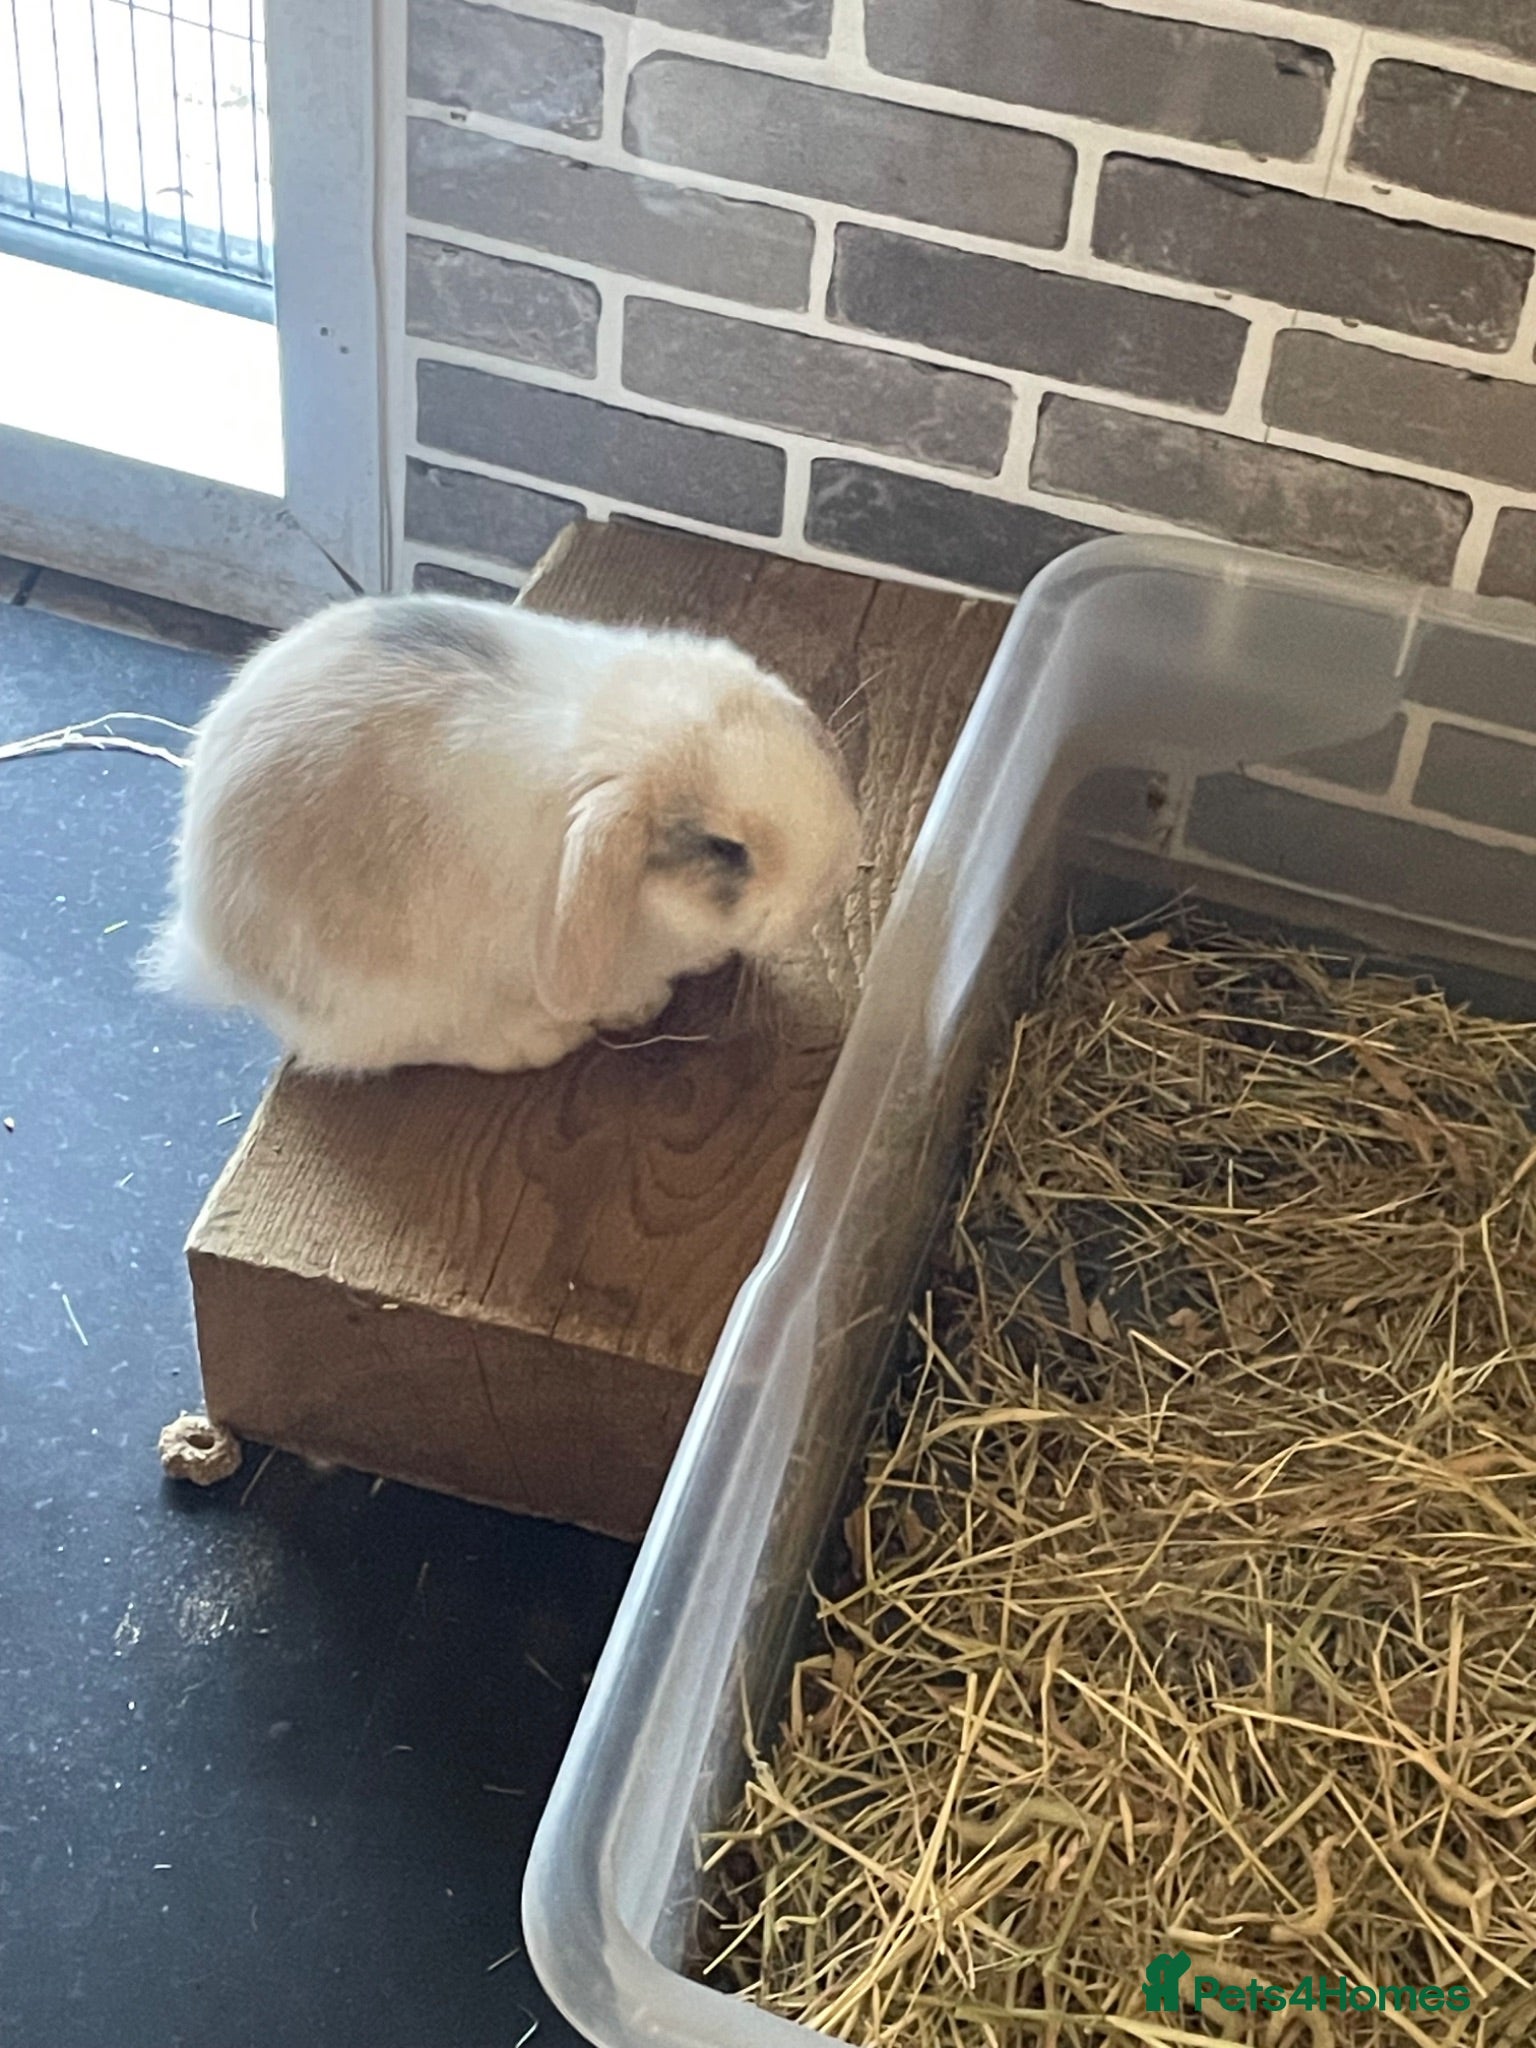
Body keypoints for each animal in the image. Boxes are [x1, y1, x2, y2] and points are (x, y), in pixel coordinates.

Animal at [143, 594, 862, 1075]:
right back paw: (535, 1039)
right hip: (386, 997)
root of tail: (206, 940)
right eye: (724, 849)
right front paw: (637, 1005)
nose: (835, 876)